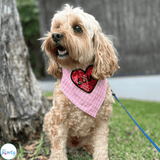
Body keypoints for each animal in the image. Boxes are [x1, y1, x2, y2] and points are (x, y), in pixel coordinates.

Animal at [41, 3, 119, 160]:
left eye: (77, 28)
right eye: (57, 26)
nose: (55, 35)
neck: (78, 69)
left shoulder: (102, 120)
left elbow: (101, 144)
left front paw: (100, 156)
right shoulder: (58, 117)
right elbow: (58, 145)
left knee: (90, 142)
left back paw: (89, 148)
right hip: (48, 118)